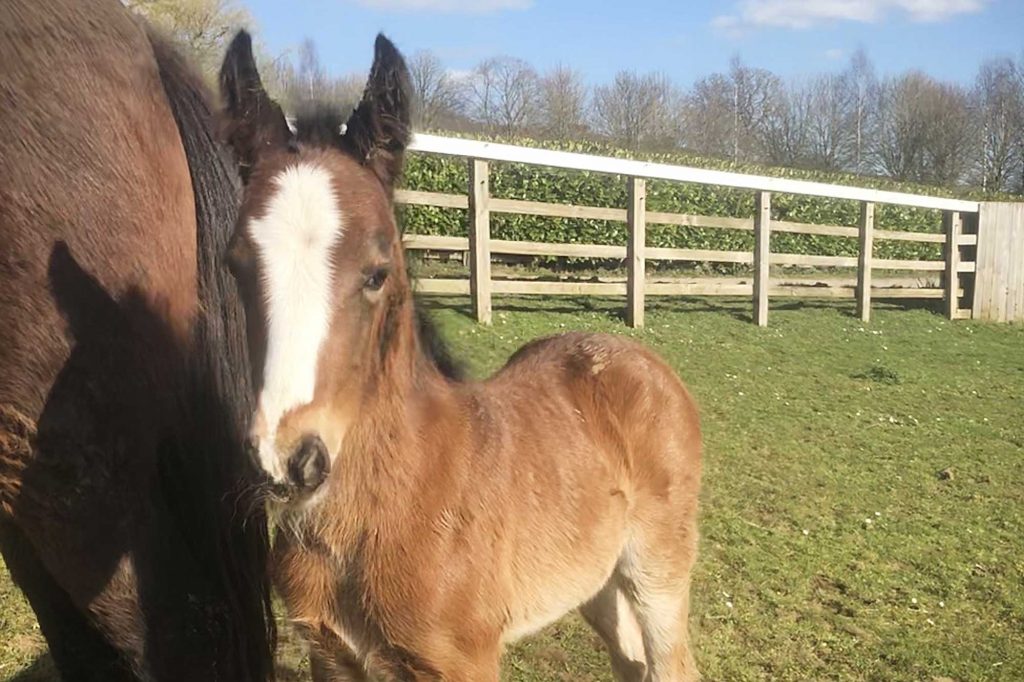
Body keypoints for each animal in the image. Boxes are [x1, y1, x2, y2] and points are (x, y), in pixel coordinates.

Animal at [222, 30, 704, 675]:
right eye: (235, 265)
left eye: (377, 273)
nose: (287, 461)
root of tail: (639, 357)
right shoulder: (330, 653)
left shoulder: (462, 662)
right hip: (593, 578)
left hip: (658, 571)